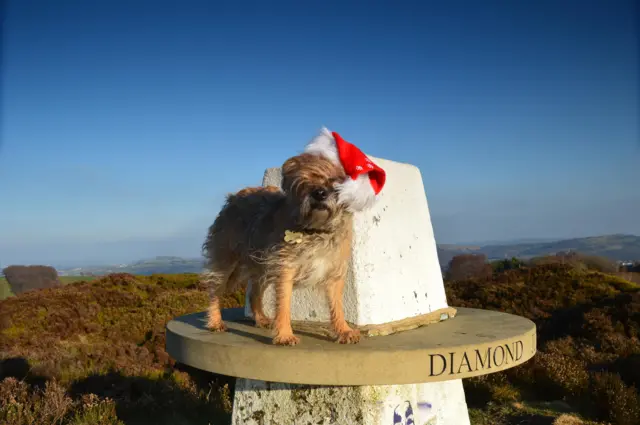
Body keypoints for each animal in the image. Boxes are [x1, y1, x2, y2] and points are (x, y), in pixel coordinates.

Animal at [201, 152, 360, 344]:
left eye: (335, 180)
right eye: (304, 181)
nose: (319, 193)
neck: (316, 229)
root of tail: (232, 198)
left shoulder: (333, 271)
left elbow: (337, 305)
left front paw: (343, 330)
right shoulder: (285, 268)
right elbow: (283, 303)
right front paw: (284, 334)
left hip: (261, 264)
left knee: (255, 292)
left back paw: (261, 318)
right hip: (227, 260)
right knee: (215, 290)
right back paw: (215, 322)